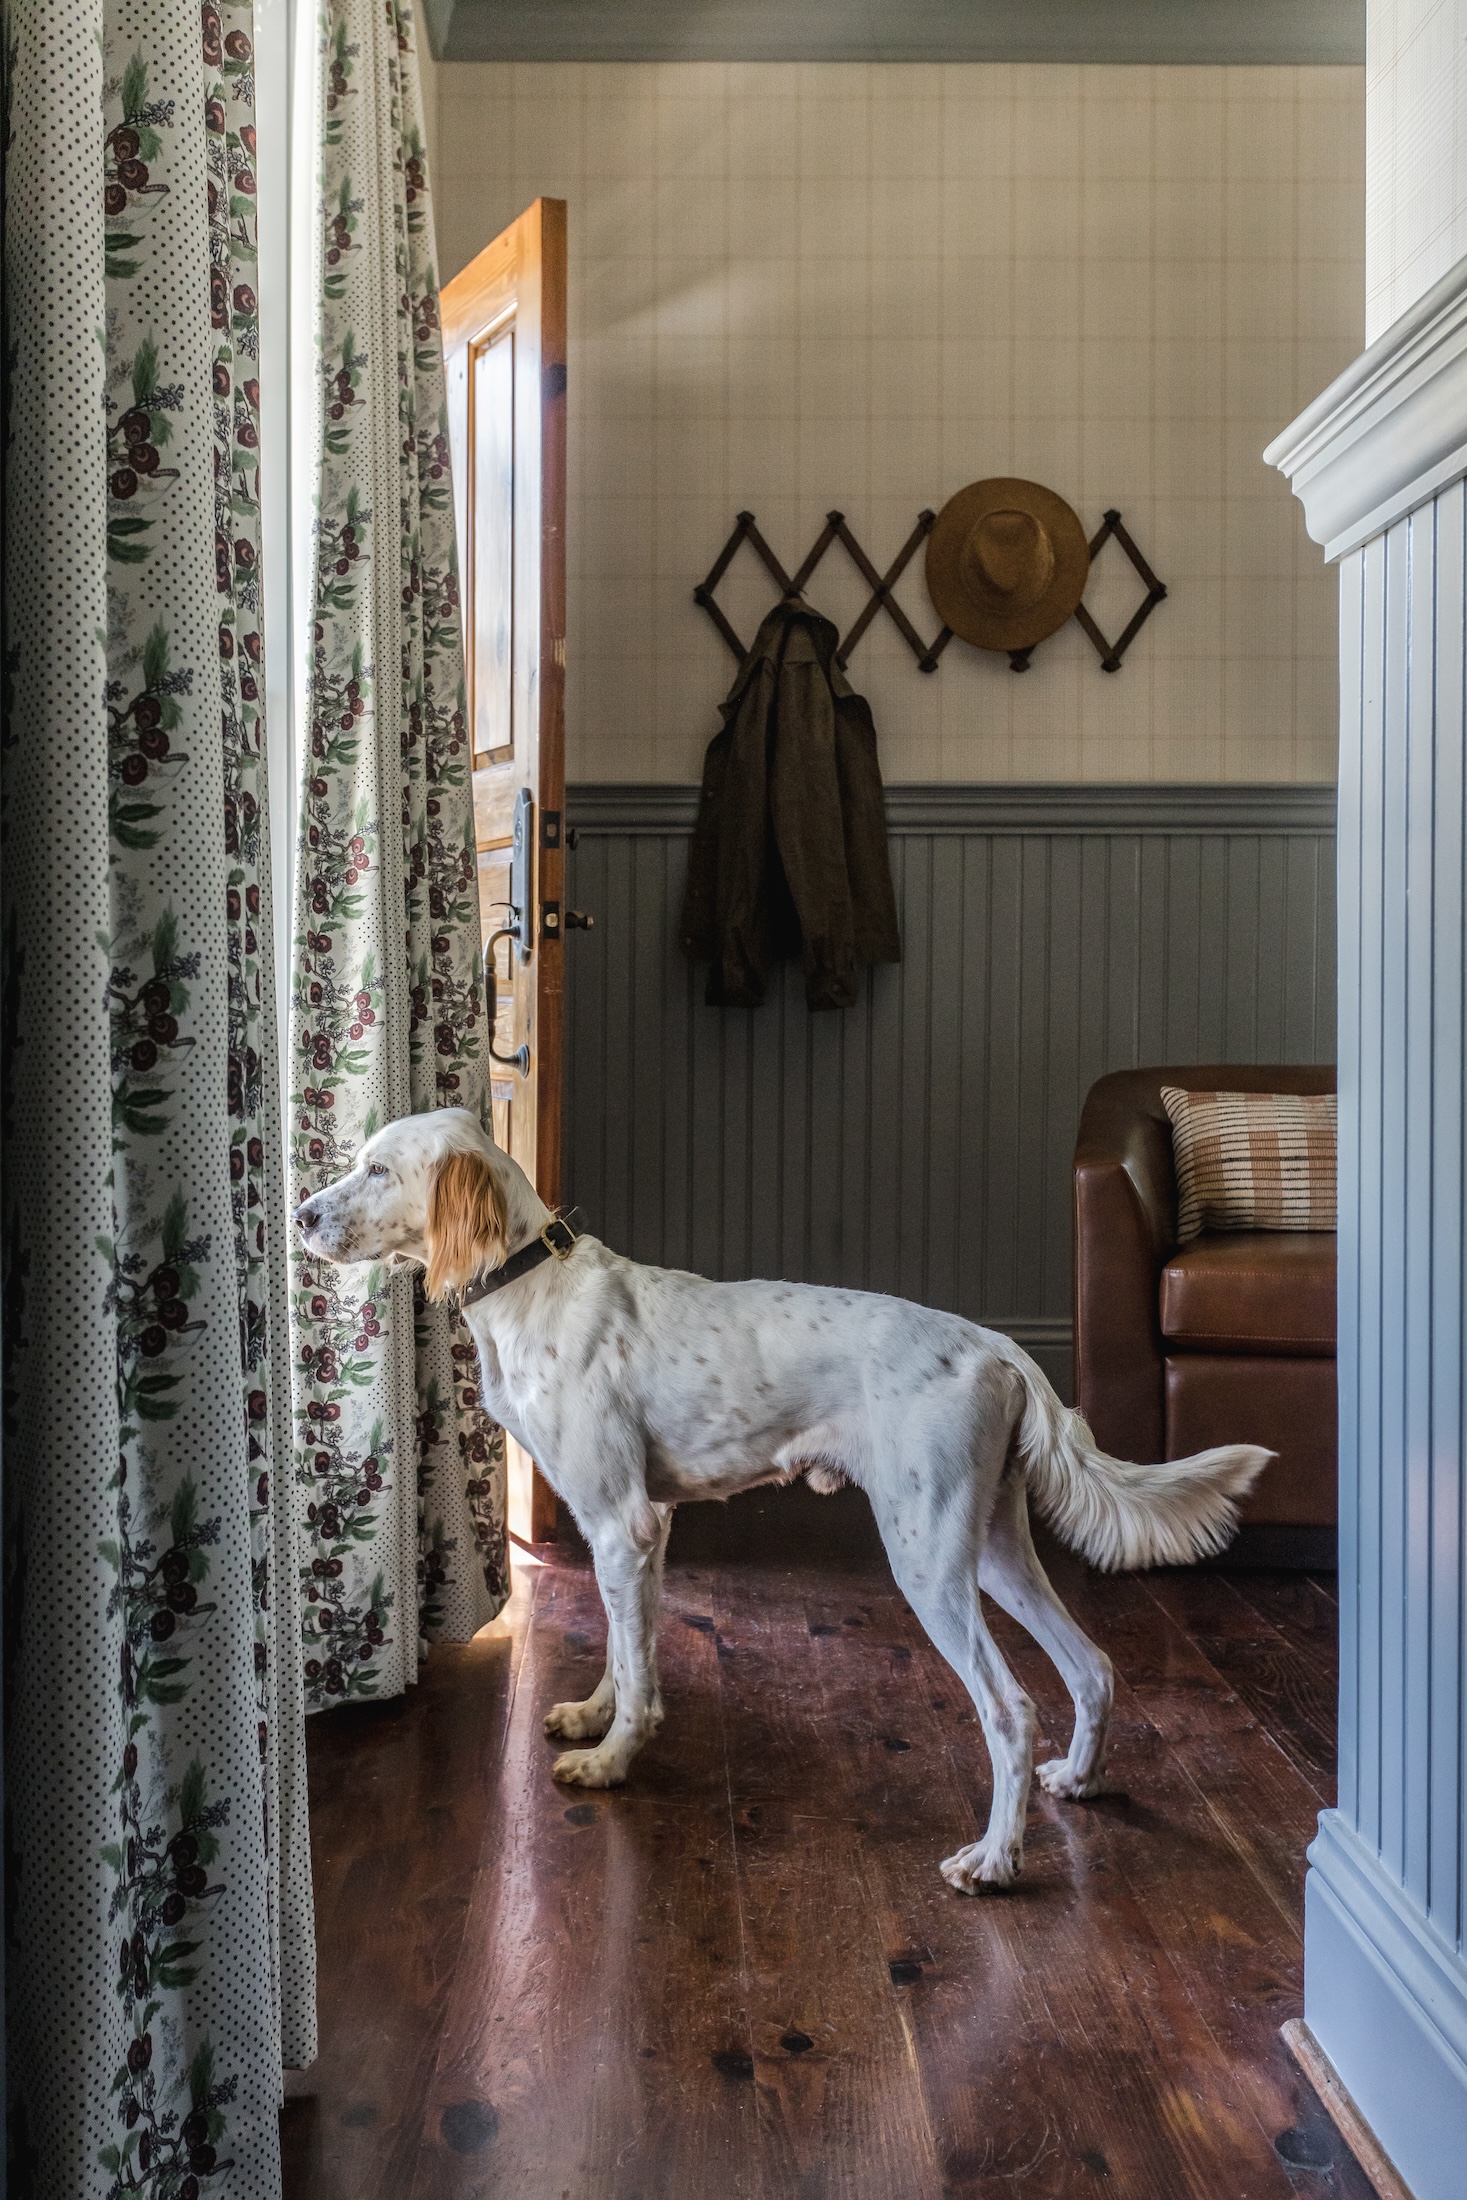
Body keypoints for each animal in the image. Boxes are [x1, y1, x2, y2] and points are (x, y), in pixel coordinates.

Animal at [292, 1108, 1266, 1900]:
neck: (532, 1282)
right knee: (1091, 1665)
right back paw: (1076, 1781)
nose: (301, 1216)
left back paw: (992, 1861)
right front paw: (596, 1716)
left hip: (927, 1557)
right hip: (989, 1543)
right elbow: (625, 1649)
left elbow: (639, 1672)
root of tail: (994, 1346)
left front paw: (610, 1763)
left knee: (1009, 1707)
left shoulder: (619, 1521)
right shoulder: (639, 1529)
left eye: (378, 1170)